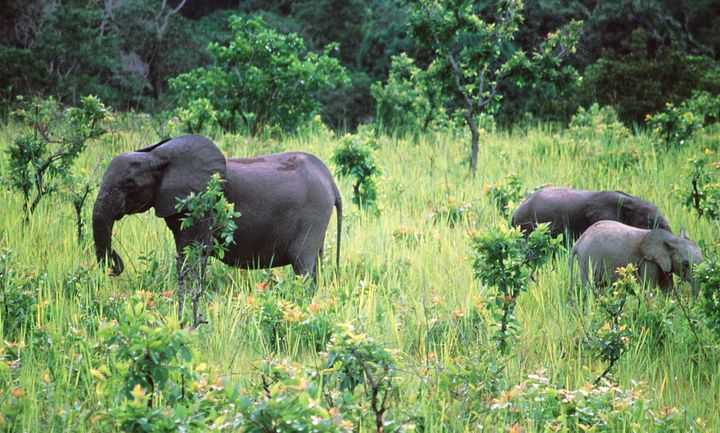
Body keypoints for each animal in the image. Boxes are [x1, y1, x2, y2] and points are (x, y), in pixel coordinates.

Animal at [92, 135, 340, 320]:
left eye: (129, 185)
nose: (116, 264)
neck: (156, 156)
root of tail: (330, 180)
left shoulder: (202, 205)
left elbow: (194, 253)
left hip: (313, 213)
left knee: (302, 264)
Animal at [568, 219, 704, 290]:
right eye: (685, 264)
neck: (672, 239)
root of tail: (578, 242)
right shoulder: (649, 262)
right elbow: (649, 289)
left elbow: (668, 289)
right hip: (588, 259)